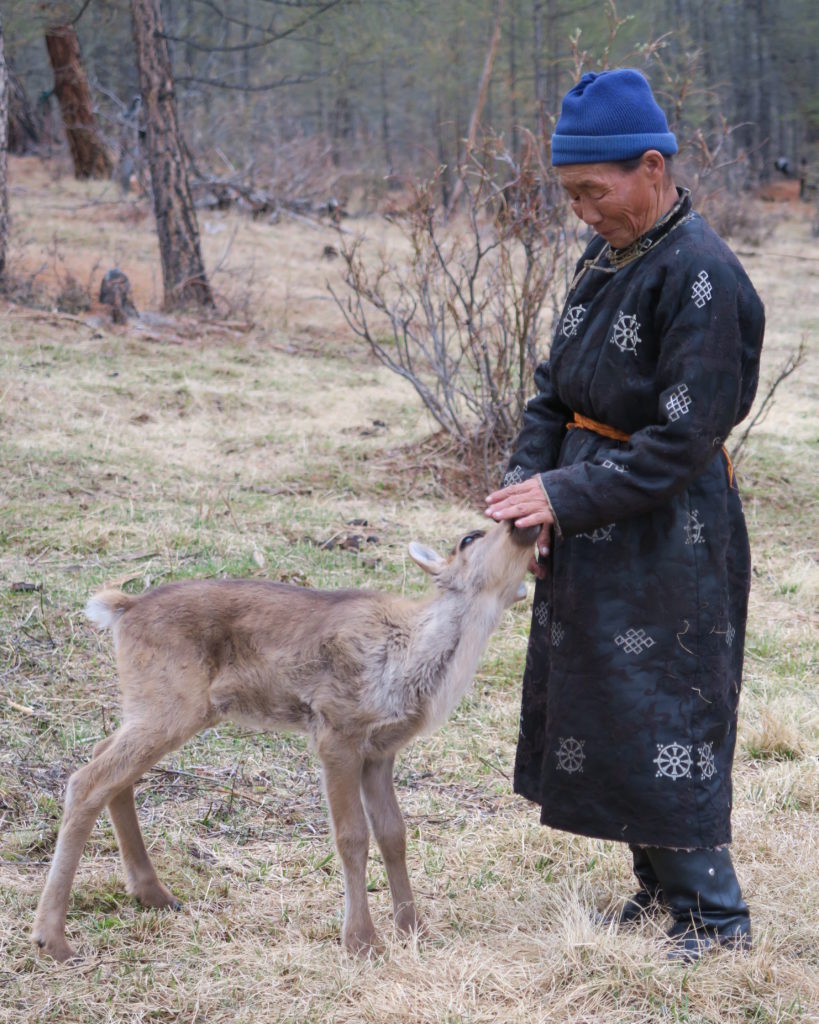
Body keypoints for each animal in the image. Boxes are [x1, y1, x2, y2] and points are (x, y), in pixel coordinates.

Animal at [33, 524, 536, 962]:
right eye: (469, 538)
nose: (526, 525)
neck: (409, 661)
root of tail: (122, 609)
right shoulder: (335, 729)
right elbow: (352, 835)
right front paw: (362, 942)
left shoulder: (381, 750)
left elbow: (394, 834)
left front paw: (414, 929)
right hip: (170, 703)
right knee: (87, 780)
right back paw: (52, 938)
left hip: (154, 705)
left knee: (104, 761)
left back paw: (153, 894)